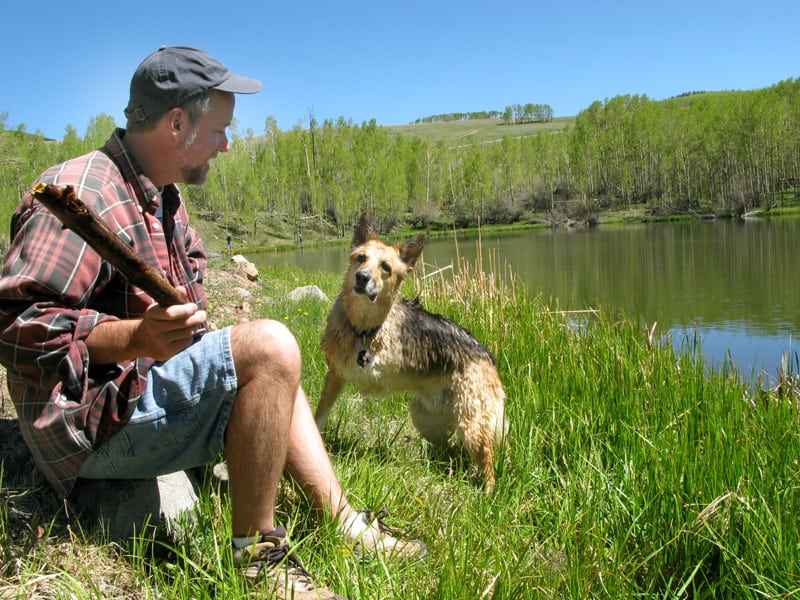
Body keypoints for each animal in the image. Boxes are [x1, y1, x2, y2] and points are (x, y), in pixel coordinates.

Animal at [314, 213, 506, 490]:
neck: (364, 328)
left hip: (472, 424)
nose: (361, 277)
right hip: (424, 418)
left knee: (487, 461)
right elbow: (319, 415)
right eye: (360, 258)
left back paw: (487, 491)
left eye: (385, 267)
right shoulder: (335, 375)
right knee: (449, 450)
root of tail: (486, 354)